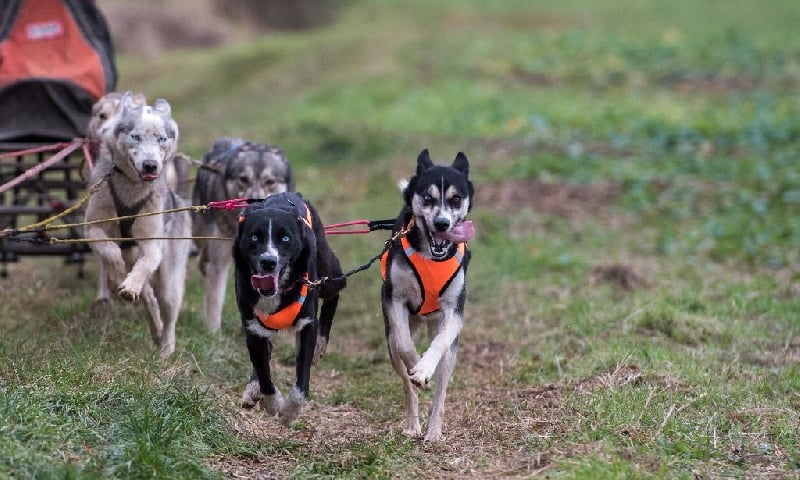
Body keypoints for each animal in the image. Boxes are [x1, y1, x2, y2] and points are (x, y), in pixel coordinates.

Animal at [83, 92, 192, 357]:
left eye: (161, 139)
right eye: (135, 136)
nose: (151, 165)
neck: (131, 189)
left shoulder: (151, 244)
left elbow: (145, 263)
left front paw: (130, 285)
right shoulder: (92, 228)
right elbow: (110, 251)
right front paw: (116, 277)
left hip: (170, 278)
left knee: (167, 307)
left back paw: (166, 347)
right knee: (149, 297)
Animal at [192, 138, 294, 332]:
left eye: (270, 181)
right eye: (244, 179)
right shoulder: (220, 257)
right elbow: (215, 296)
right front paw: (213, 333)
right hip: (199, 232)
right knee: (202, 256)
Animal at [234, 192, 344, 425]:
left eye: (285, 238)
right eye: (254, 237)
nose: (268, 261)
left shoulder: (306, 325)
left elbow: (301, 381)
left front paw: (290, 411)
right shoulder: (254, 330)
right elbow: (264, 373)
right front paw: (271, 402)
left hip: (326, 272)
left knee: (336, 289)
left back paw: (321, 345)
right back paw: (253, 389)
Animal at [380, 149, 475, 442]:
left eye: (455, 199)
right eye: (427, 197)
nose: (442, 223)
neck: (431, 256)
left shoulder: (454, 310)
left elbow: (442, 340)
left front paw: (424, 368)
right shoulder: (394, 300)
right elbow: (404, 345)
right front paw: (416, 368)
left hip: (447, 348)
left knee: (441, 391)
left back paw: (434, 431)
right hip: (391, 339)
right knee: (405, 383)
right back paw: (413, 423)